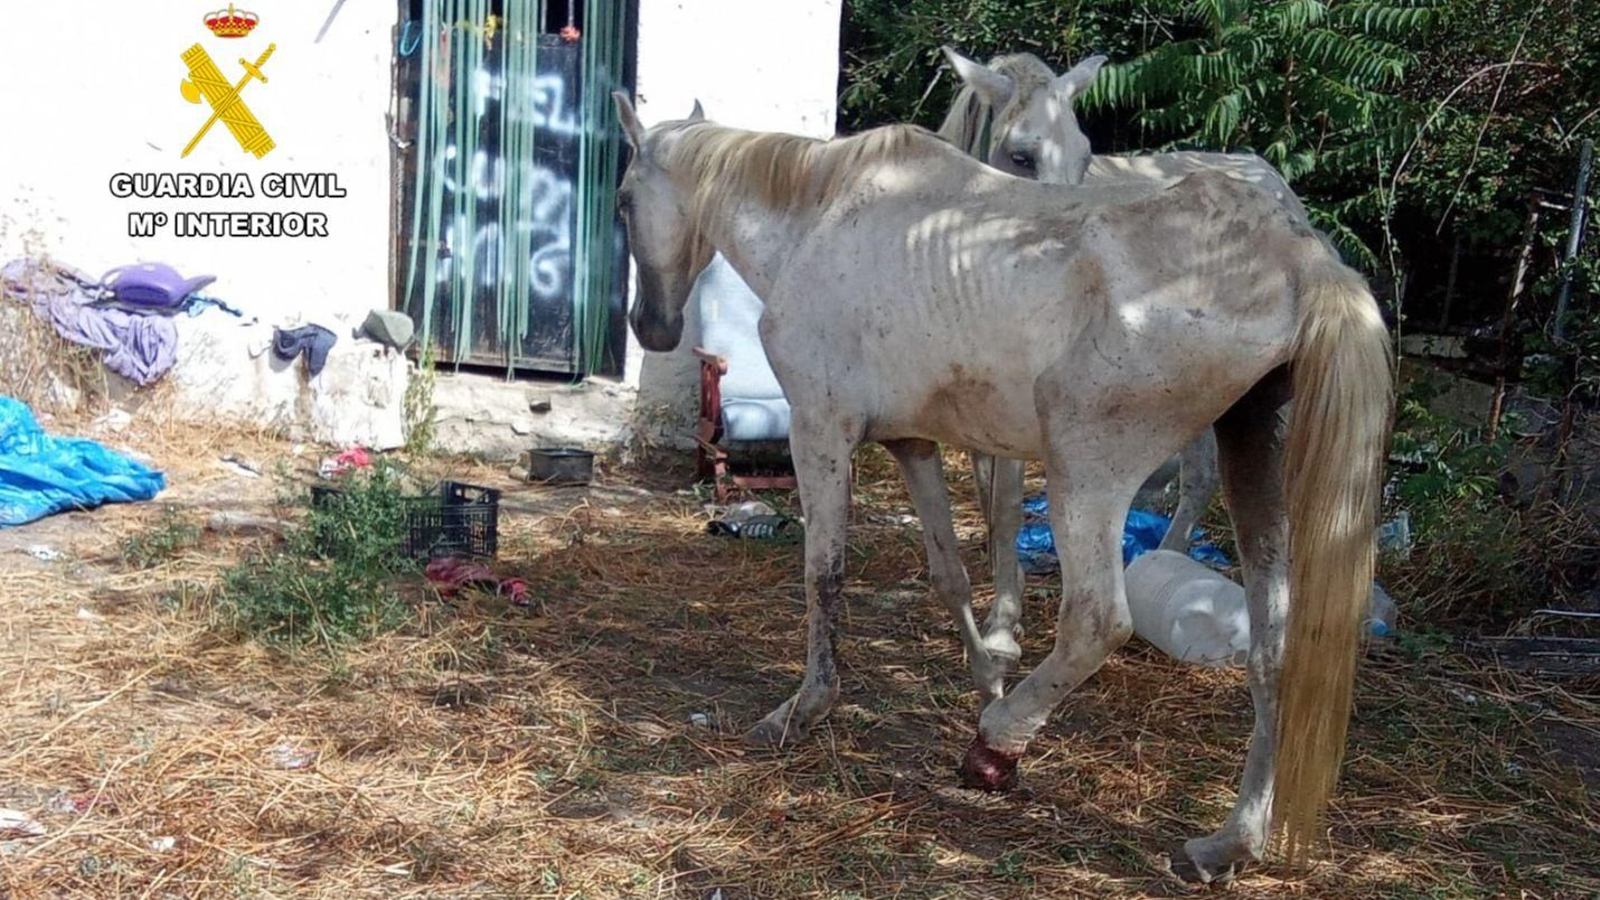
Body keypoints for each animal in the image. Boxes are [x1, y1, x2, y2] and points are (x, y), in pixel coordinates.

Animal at [610, 95, 1391, 880]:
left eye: (621, 200)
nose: (651, 327)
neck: (823, 213)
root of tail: (1298, 260)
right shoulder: (912, 443)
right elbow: (949, 572)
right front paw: (987, 670)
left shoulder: (821, 430)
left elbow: (823, 574)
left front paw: (804, 710)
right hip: (1255, 470)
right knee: (1274, 651)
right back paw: (1228, 843)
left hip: (1086, 473)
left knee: (1096, 622)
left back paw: (997, 744)